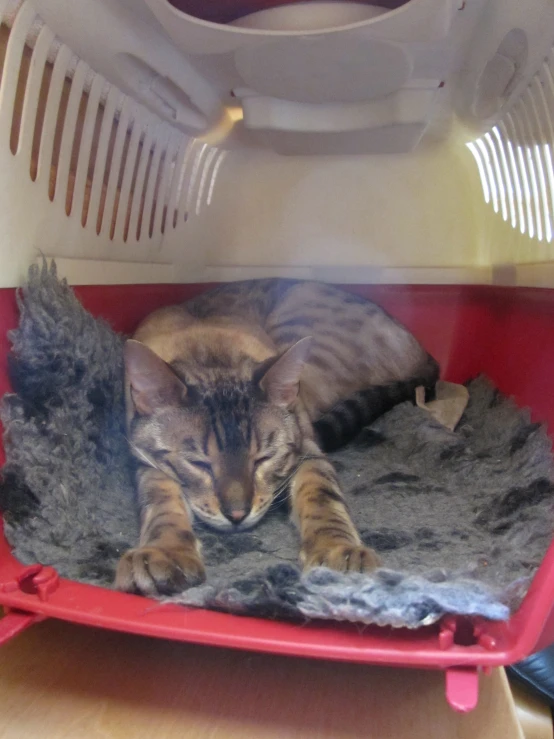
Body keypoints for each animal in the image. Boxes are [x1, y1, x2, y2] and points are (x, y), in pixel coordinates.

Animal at [115, 280, 436, 600]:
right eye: (199, 464)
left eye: (263, 459)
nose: (237, 515)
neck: (208, 350)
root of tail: (427, 358)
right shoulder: (145, 460)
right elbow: (161, 505)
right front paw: (164, 553)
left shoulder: (308, 450)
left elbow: (322, 497)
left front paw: (339, 552)